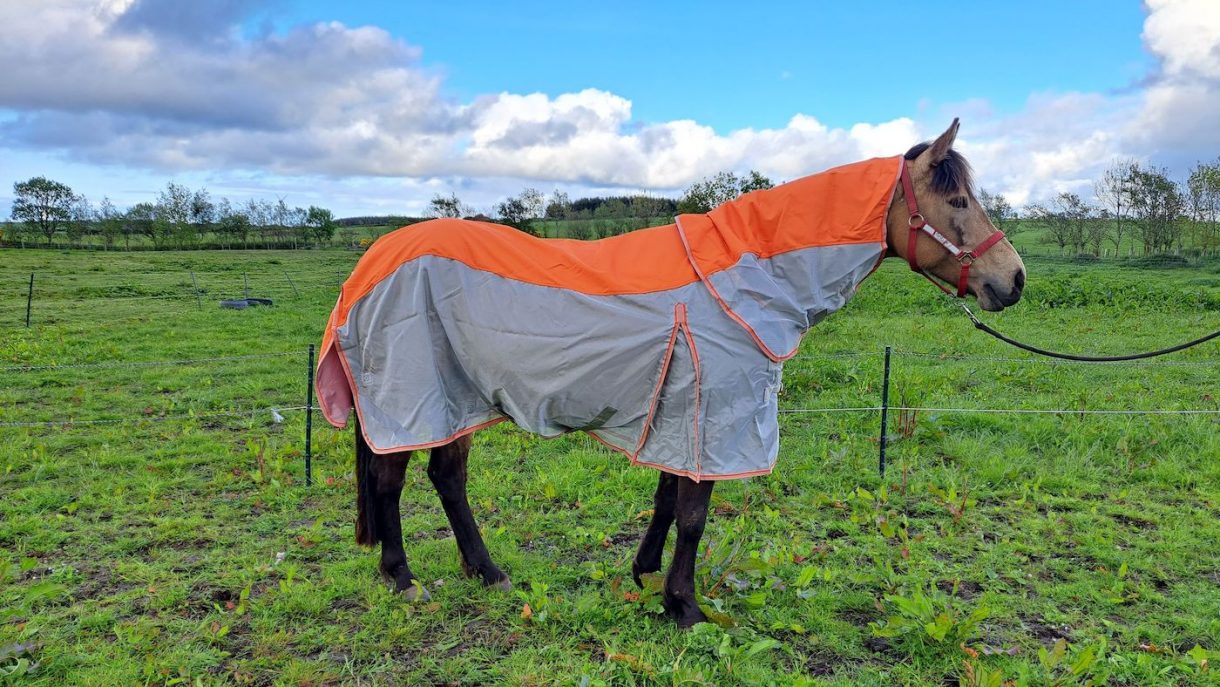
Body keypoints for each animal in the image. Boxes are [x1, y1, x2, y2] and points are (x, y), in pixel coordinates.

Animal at [315, 119, 1026, 627]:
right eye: (957, 198)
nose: (1012, 280)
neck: (745, 279)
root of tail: (371, 264)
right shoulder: (713, 416)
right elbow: (693, 514)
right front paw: (684, 607)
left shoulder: (684, 416)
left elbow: (665, 500)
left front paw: (647, 574)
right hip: (409, 397)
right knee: (389, 481)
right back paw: (403, 577)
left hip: (455, 399)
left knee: (447, 478)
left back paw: (487, 573)